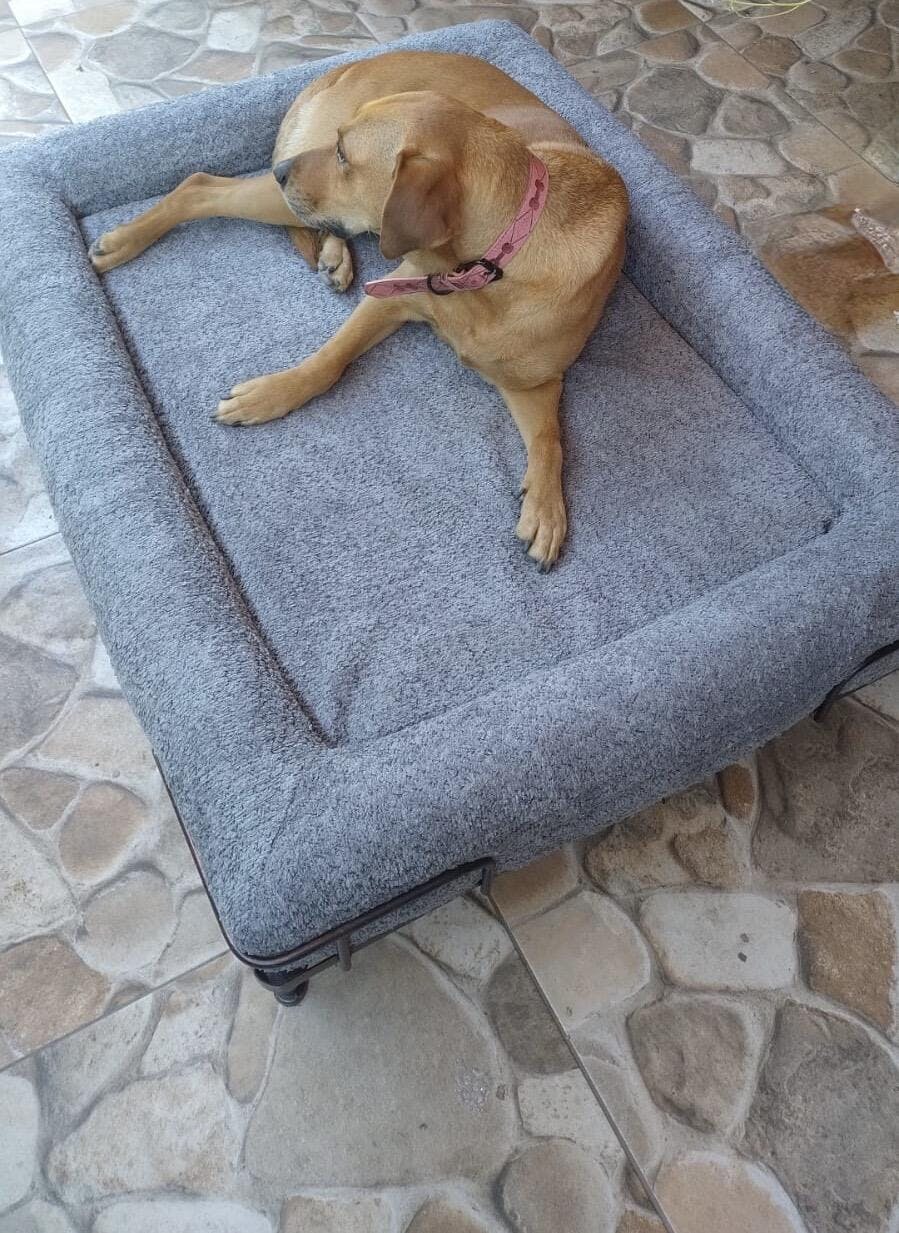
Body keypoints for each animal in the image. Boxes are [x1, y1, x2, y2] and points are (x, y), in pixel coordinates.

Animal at [89, 51, 628, 567]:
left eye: (344, 155)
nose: (282, 172)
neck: (492, 263)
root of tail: (347, 65)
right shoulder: (390, 292)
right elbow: (327, 362)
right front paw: (271, 395)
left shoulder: (534, 384)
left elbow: (550, 441)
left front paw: (547, 508)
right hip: (284, 200)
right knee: (200, 187)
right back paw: (122, 242)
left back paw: (332, 254)